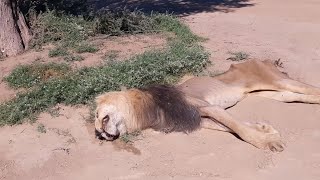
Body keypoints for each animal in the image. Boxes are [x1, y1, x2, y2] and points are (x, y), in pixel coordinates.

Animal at [94, 60, 318, 152]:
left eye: (98, 116)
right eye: (98, 131)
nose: (99, 134)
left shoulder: (205, 107)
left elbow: (239, 129)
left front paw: (268, 142)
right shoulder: (200, 119)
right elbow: (231, 127)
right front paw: (266, 129)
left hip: (278, 80)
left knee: (311, 89)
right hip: (274, 93)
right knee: (295, 96)